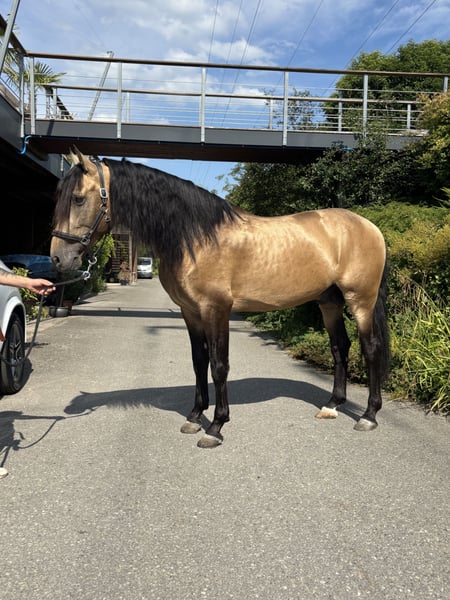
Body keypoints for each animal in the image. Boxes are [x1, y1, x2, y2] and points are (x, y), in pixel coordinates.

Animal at [50, 147, 390, 448]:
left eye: (78, 198)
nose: (58, 259)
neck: (196, 238)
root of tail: (369, 226)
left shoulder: (217, 310)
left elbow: (219, 365)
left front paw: (215, 427)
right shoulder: (190, 312)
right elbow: (199, 361)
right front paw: (194, 417)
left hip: (361, 300)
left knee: (371, 348)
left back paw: (369, 415)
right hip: (329, 301)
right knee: (340, 346)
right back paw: (332, 405)